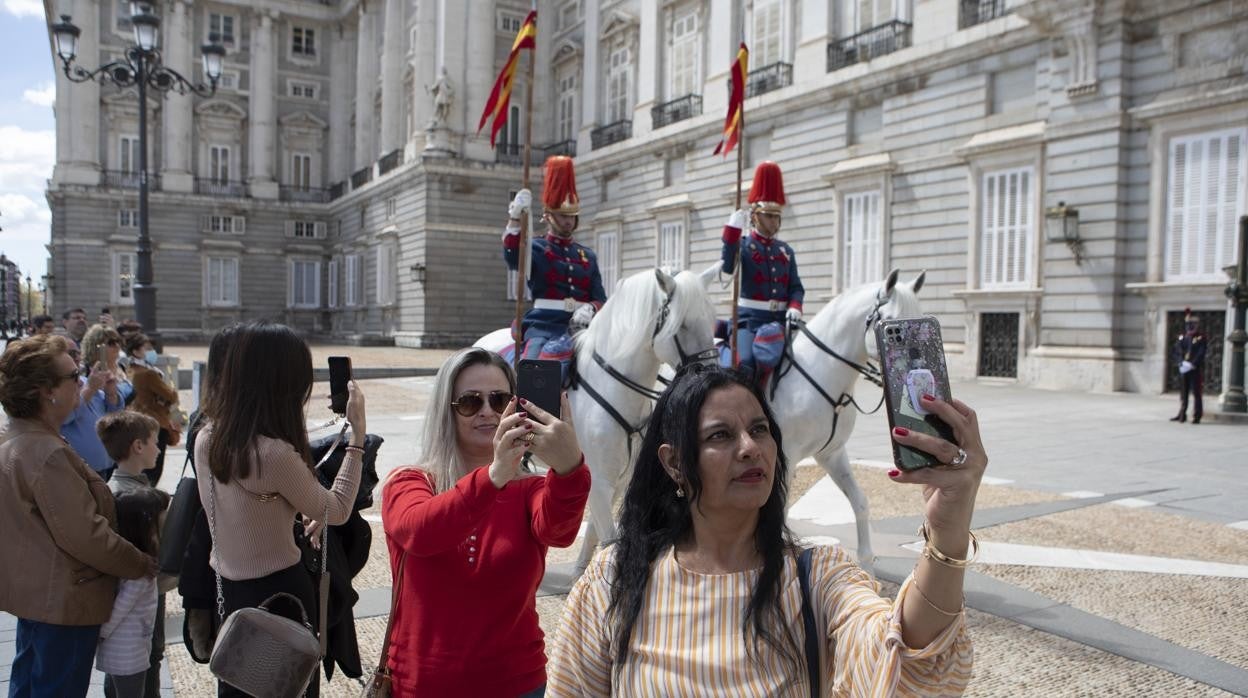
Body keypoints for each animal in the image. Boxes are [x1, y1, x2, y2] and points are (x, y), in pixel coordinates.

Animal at [476, 265, 718, 579]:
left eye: (710, 322)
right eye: (683, 324)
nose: (712, 375)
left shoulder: (615, 481)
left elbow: (594, 532)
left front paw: (580, 573)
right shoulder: (601, 481)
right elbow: (609, 538)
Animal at [763, 267, 923, 569]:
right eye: (889, 325)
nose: (914, 369)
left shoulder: (832, 453)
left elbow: (859, 501)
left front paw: (867, 561)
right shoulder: (785, 459)